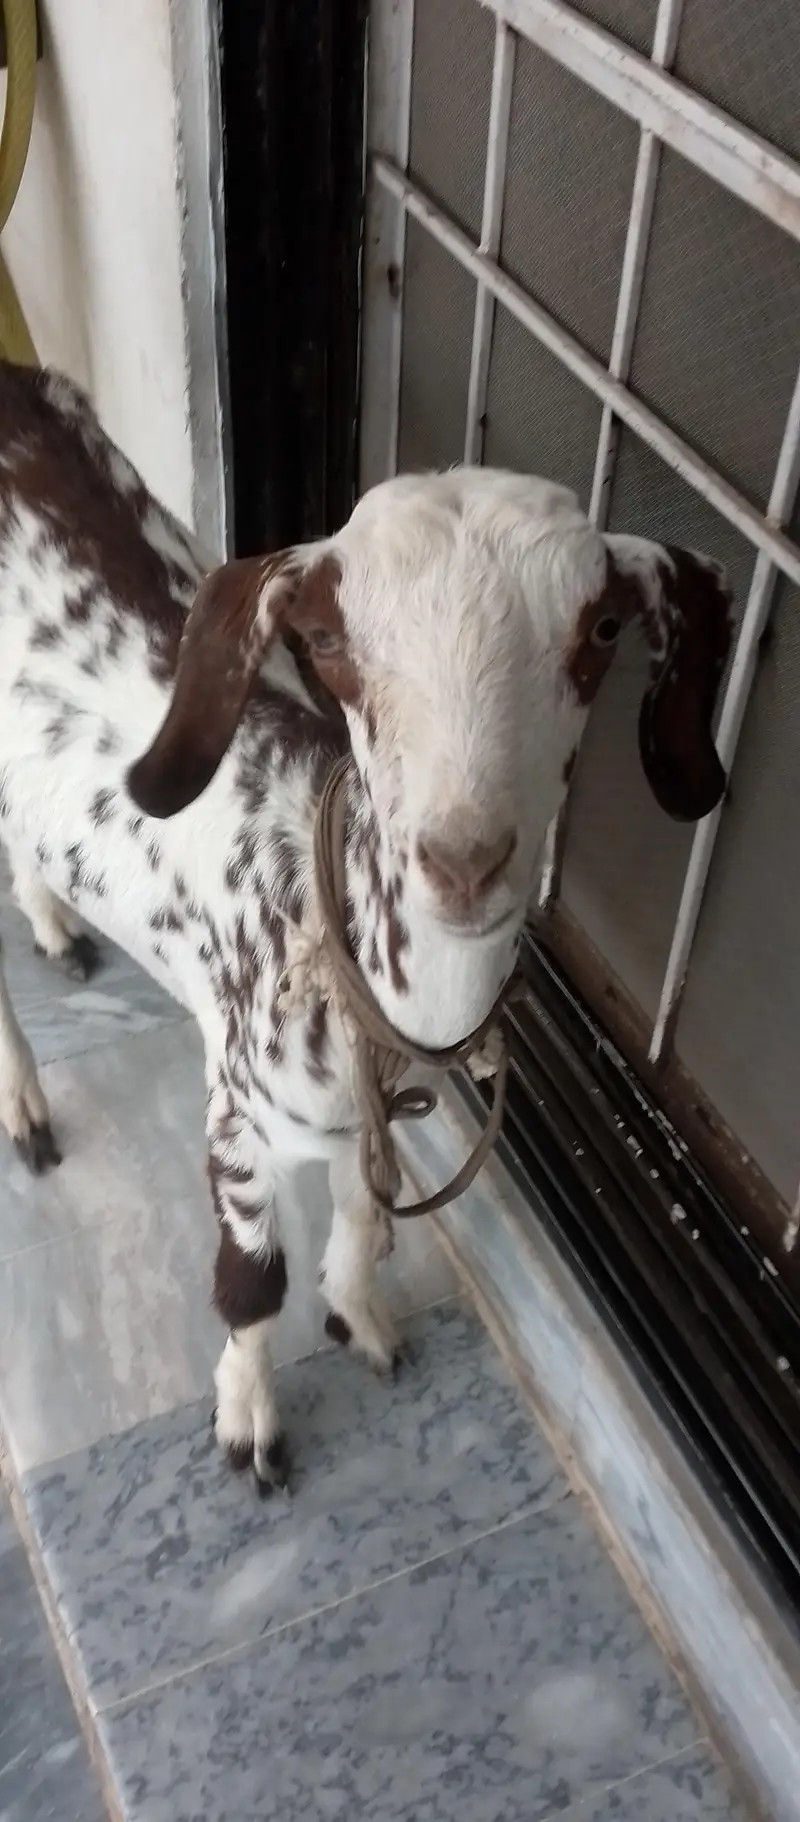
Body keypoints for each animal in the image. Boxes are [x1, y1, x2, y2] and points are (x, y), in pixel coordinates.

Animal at [0, 362, 732, 1489]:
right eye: (327, 641)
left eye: (600, 632)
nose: (464, 860)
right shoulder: (236, 1118)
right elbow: (252, 1285)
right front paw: (249, 1425)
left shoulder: (371, 1116)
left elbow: (361, 1211)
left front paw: (360, 1319)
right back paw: (26, 1106)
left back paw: (50, 921)